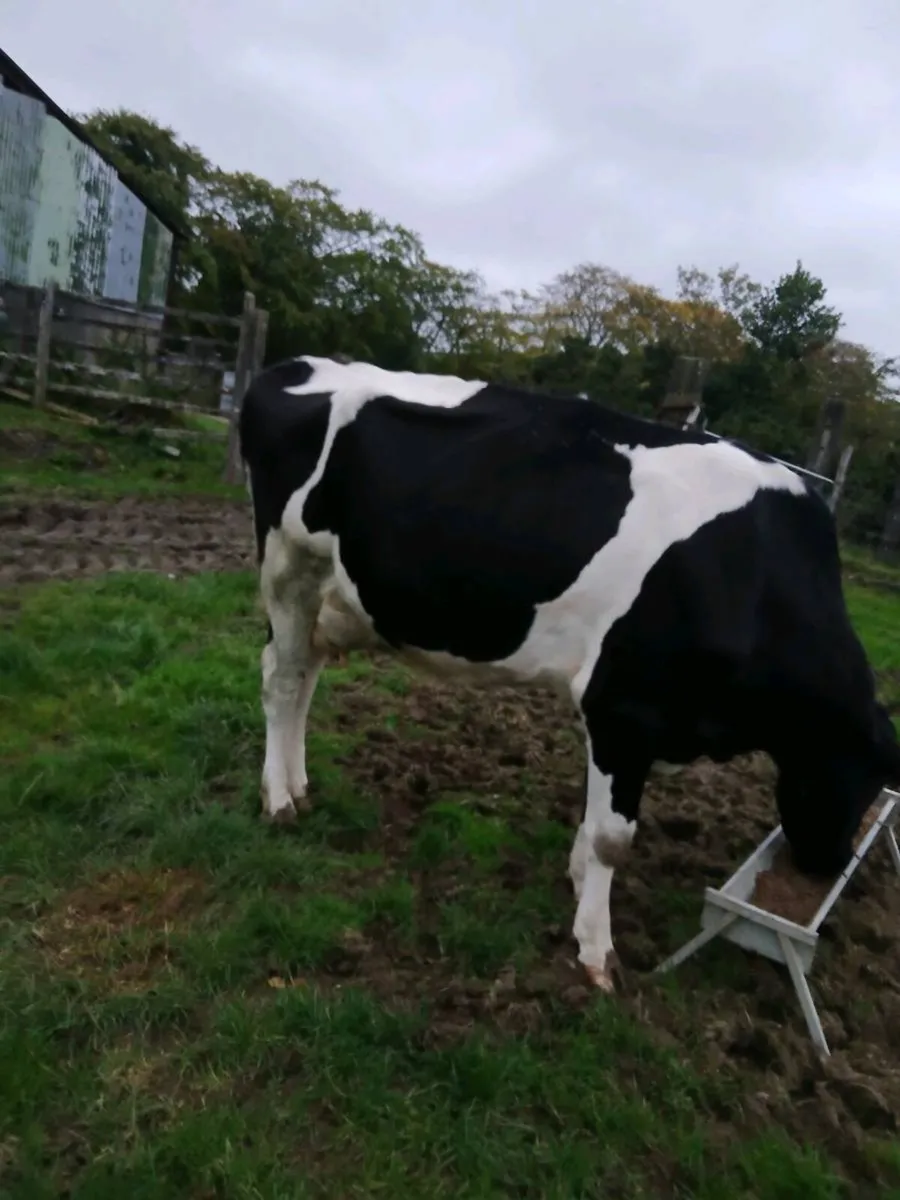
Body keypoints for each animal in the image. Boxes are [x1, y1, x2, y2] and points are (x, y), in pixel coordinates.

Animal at [239, 355, 900, 992]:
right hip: (288, 566)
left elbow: (594, 817)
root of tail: (297, 365)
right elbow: (613, 836)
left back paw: (298, 781)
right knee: (281, 679)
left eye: (876, 787)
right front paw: (595, 951)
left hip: (335, 593)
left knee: (305, 675)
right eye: (848, 776)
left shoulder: (629, 724)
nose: (828, 864)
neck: (752, 579)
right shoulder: (623, 707)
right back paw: (279, 799)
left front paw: (580, 882)